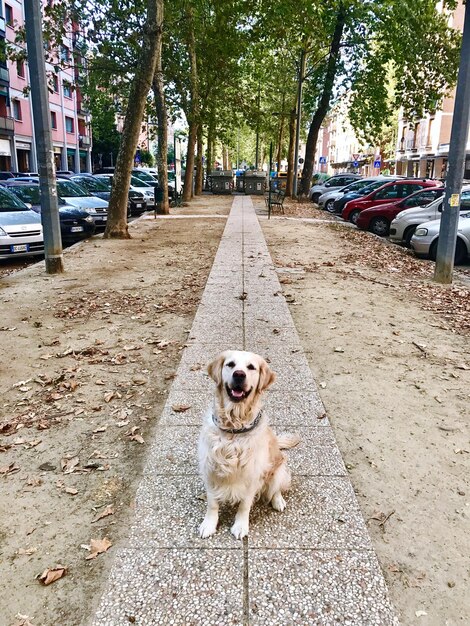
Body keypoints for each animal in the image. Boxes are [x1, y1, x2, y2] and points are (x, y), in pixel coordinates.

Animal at [197, 348, 300, 540]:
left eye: (251, 367)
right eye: (230, 364)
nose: (239, 374)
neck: (233, 428)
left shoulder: (252, 475)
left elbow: (244, 504)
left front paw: (240, 526)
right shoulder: (210, 469)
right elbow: (212, 503)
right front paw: (209, 525)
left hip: (279, 471)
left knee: (275, 489)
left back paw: (278, 501)